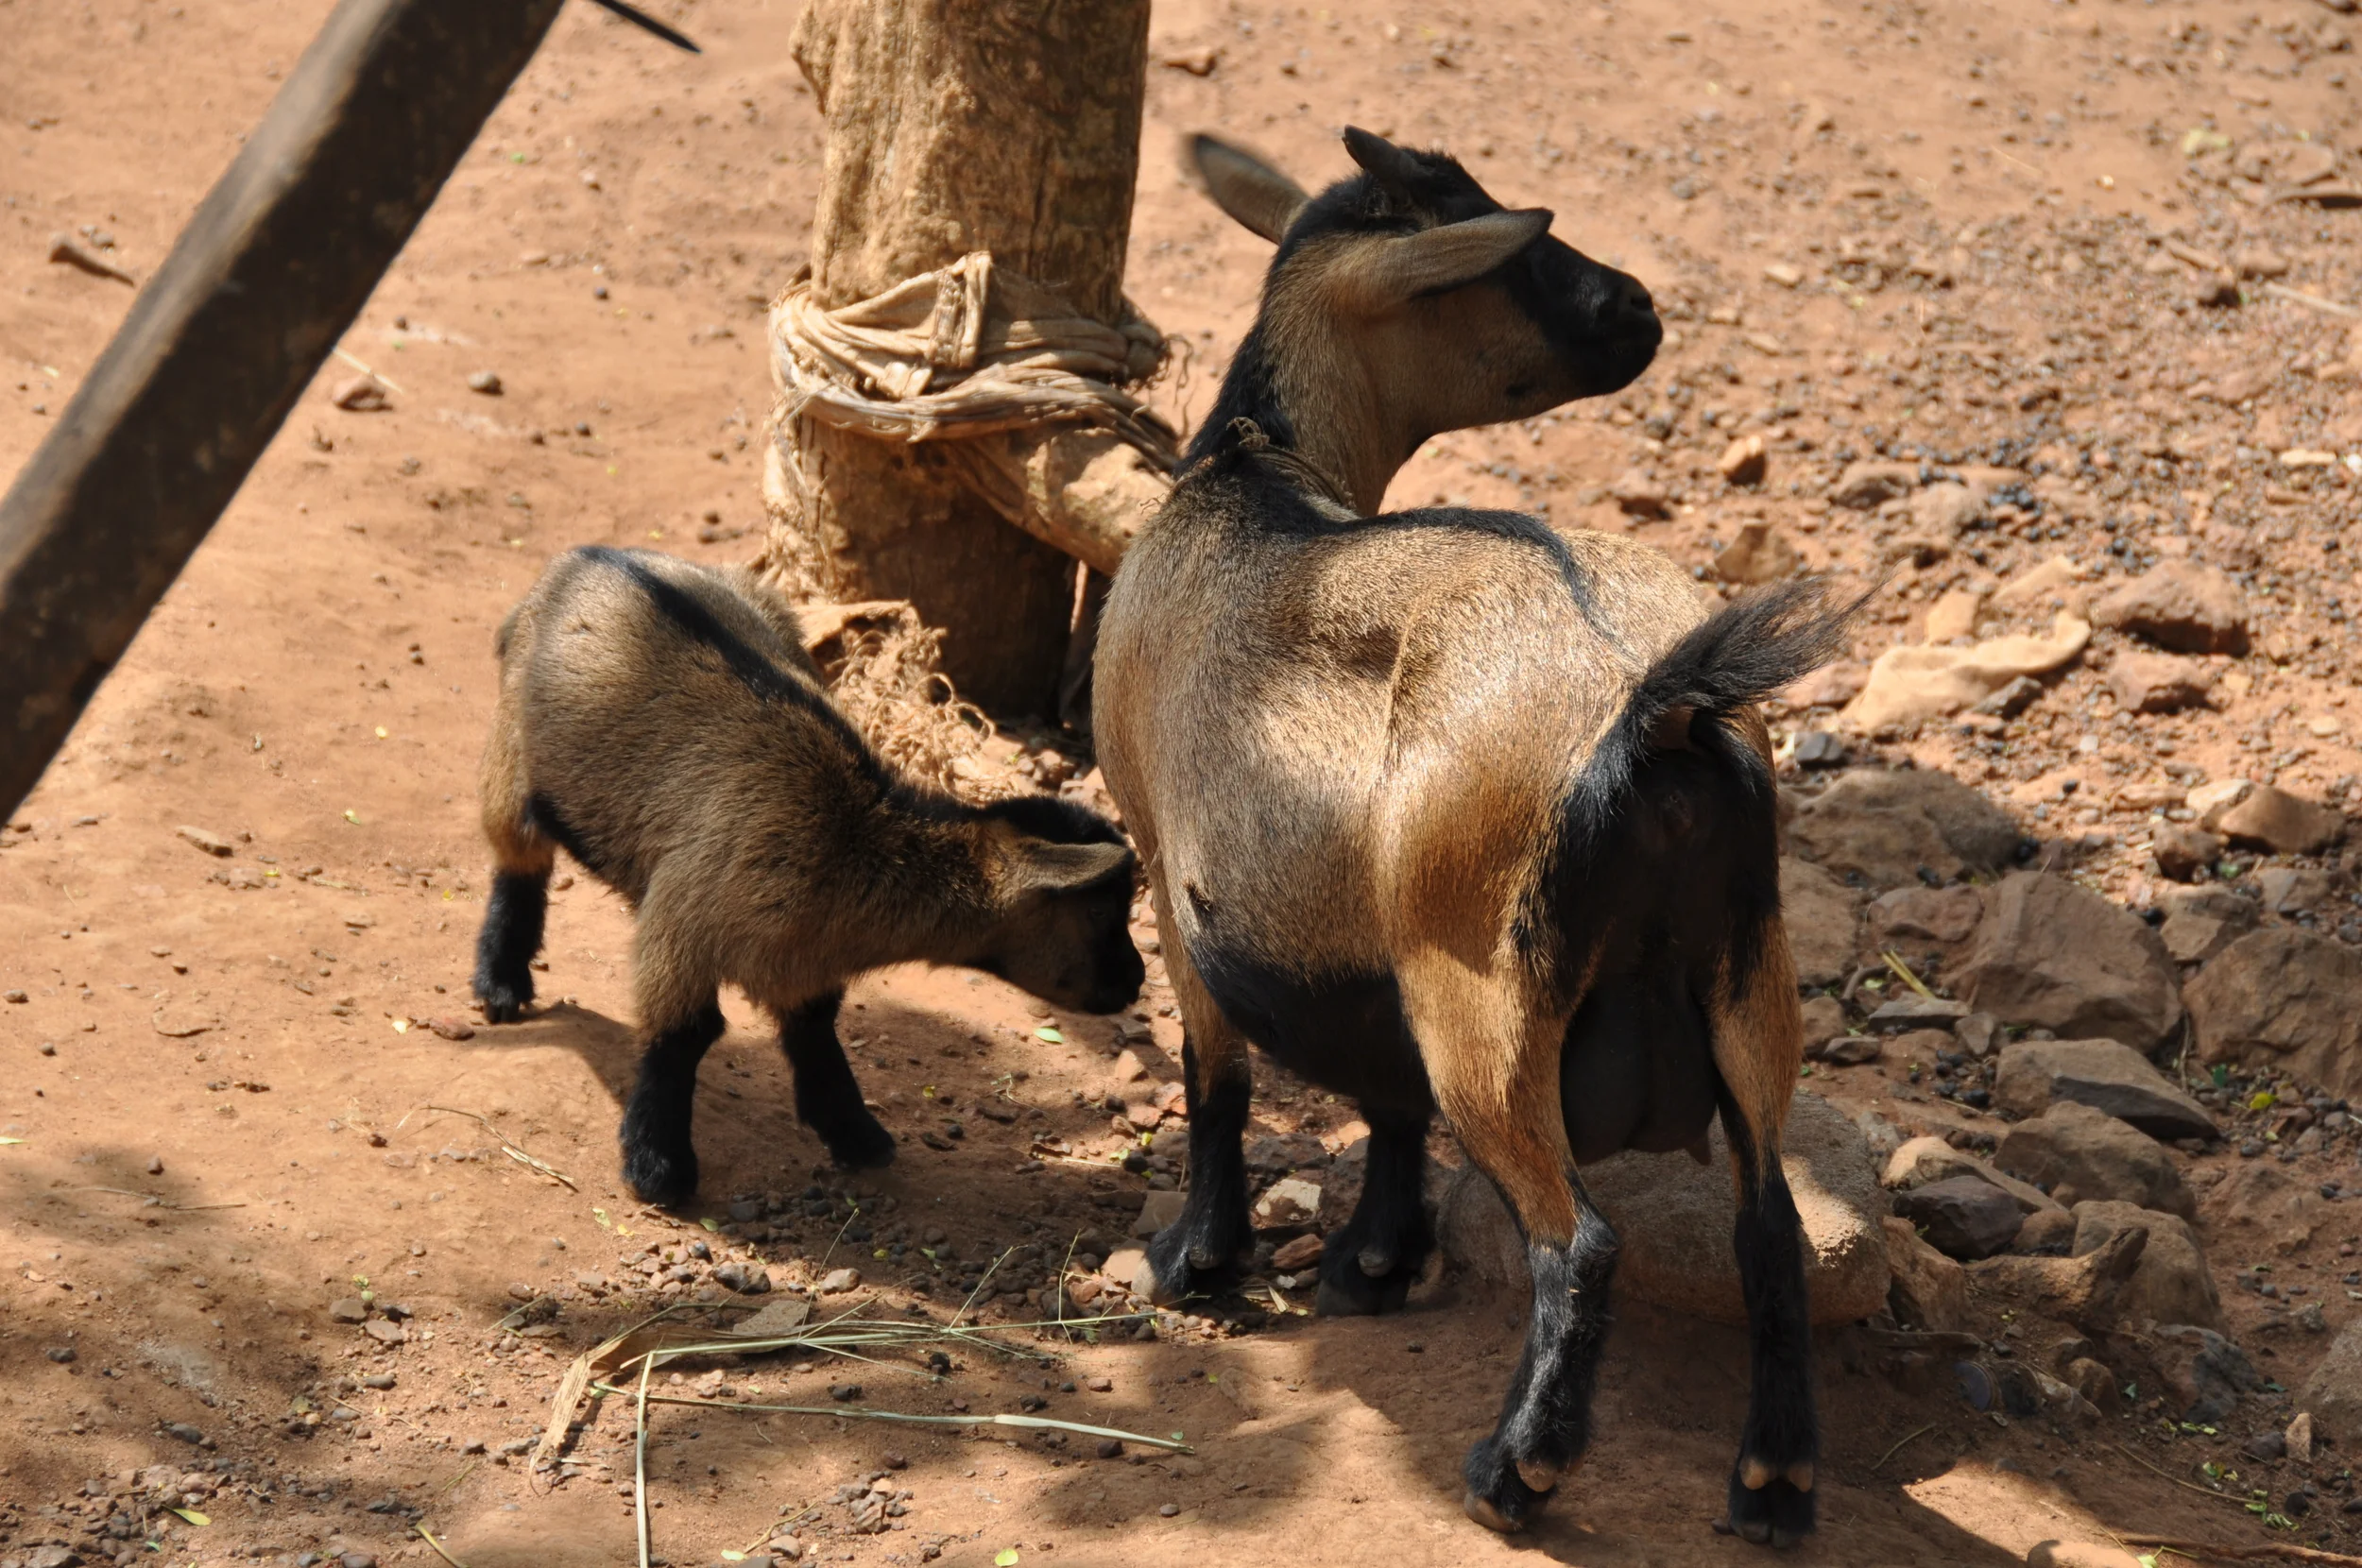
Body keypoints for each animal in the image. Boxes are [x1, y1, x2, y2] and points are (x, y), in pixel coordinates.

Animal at [472, 546, 1144, 1204]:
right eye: (1100, 912)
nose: (1136, 978)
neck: (849, 836)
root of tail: (583, 557)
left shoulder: (801, 952)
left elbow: (814, 1028)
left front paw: (854, 1133)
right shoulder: (684, 918)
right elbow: (684, 1035)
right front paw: (658, 1167)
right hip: (512, 752)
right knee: (519, 862)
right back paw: (500, 984)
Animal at [1092, 130, 1856, 1545]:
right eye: (1499, 261)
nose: (1638, 307)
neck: (1253, 478)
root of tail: (1655, 711)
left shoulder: (1175, 882)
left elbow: (1214, 1081)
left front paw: (1197, 1263)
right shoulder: (1365, 949)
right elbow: (1383, 1099)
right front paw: (1373, 1266)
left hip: (1487, 990)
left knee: (1582, 1240)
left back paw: (1517, 1471)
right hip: (1743, 971)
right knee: (1768, 1224)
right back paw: (1772, 1489)